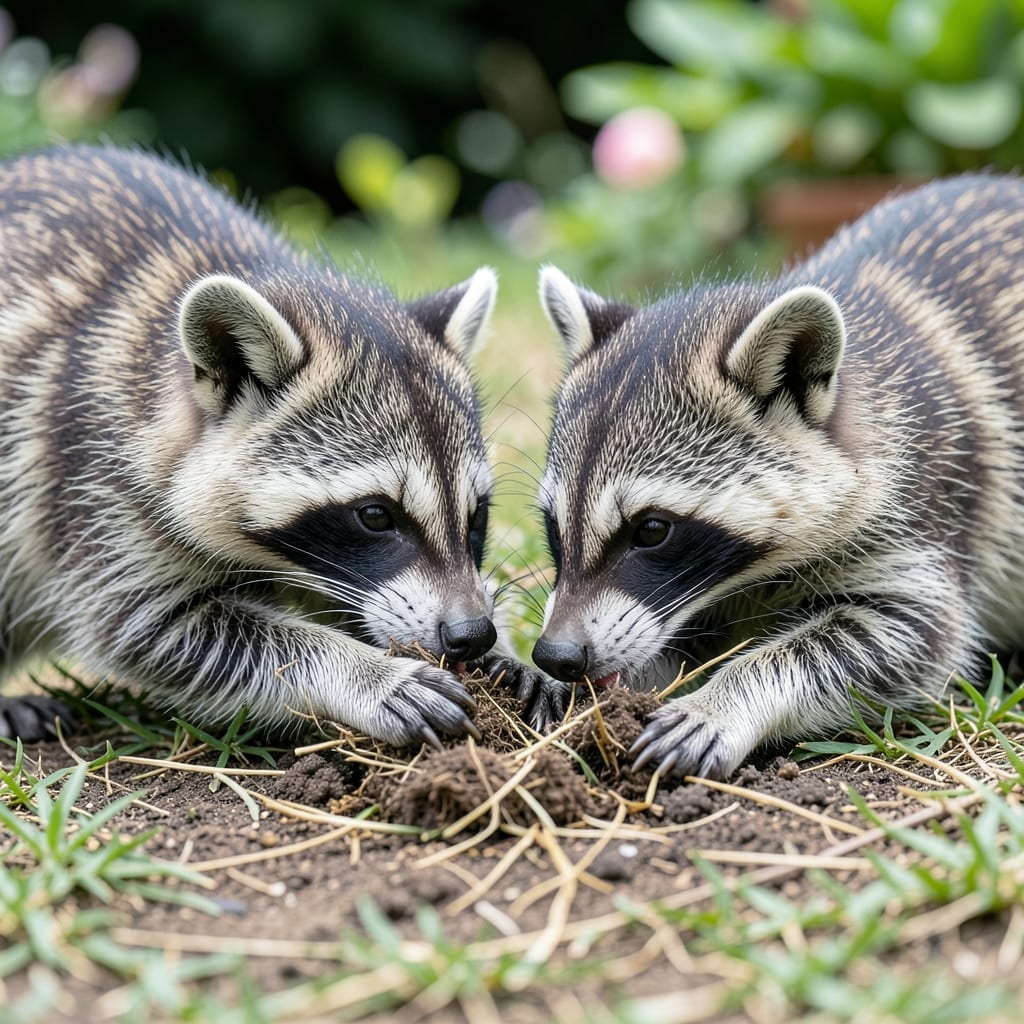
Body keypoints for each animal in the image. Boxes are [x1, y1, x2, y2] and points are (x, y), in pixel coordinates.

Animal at [0, 145, 502, 749]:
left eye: (477, 514)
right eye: (376, 516)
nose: (473, 633)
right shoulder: (90, 479)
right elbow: (153, 629)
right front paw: (364, 672)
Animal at [532, 175, 1024, 780]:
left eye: (651, 530)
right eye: (553, 527)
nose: (556, 655)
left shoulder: (927, 508)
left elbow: (910, 636)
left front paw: (725, 698)